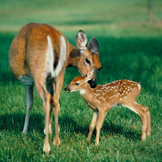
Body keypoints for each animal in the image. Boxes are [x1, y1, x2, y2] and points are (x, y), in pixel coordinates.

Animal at [8, 22, 101, 154]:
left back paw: (46, 148)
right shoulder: (50, 79)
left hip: (38, 72)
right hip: (60, 74)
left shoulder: (29, 82)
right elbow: (51, 102)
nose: (93, 83)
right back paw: (56, 141)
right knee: (55, 99)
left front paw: (25, 132)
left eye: (99, 67)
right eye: (88, 60)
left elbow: (29, 104)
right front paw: (49, 129)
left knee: (46, 99)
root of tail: (54, 37)